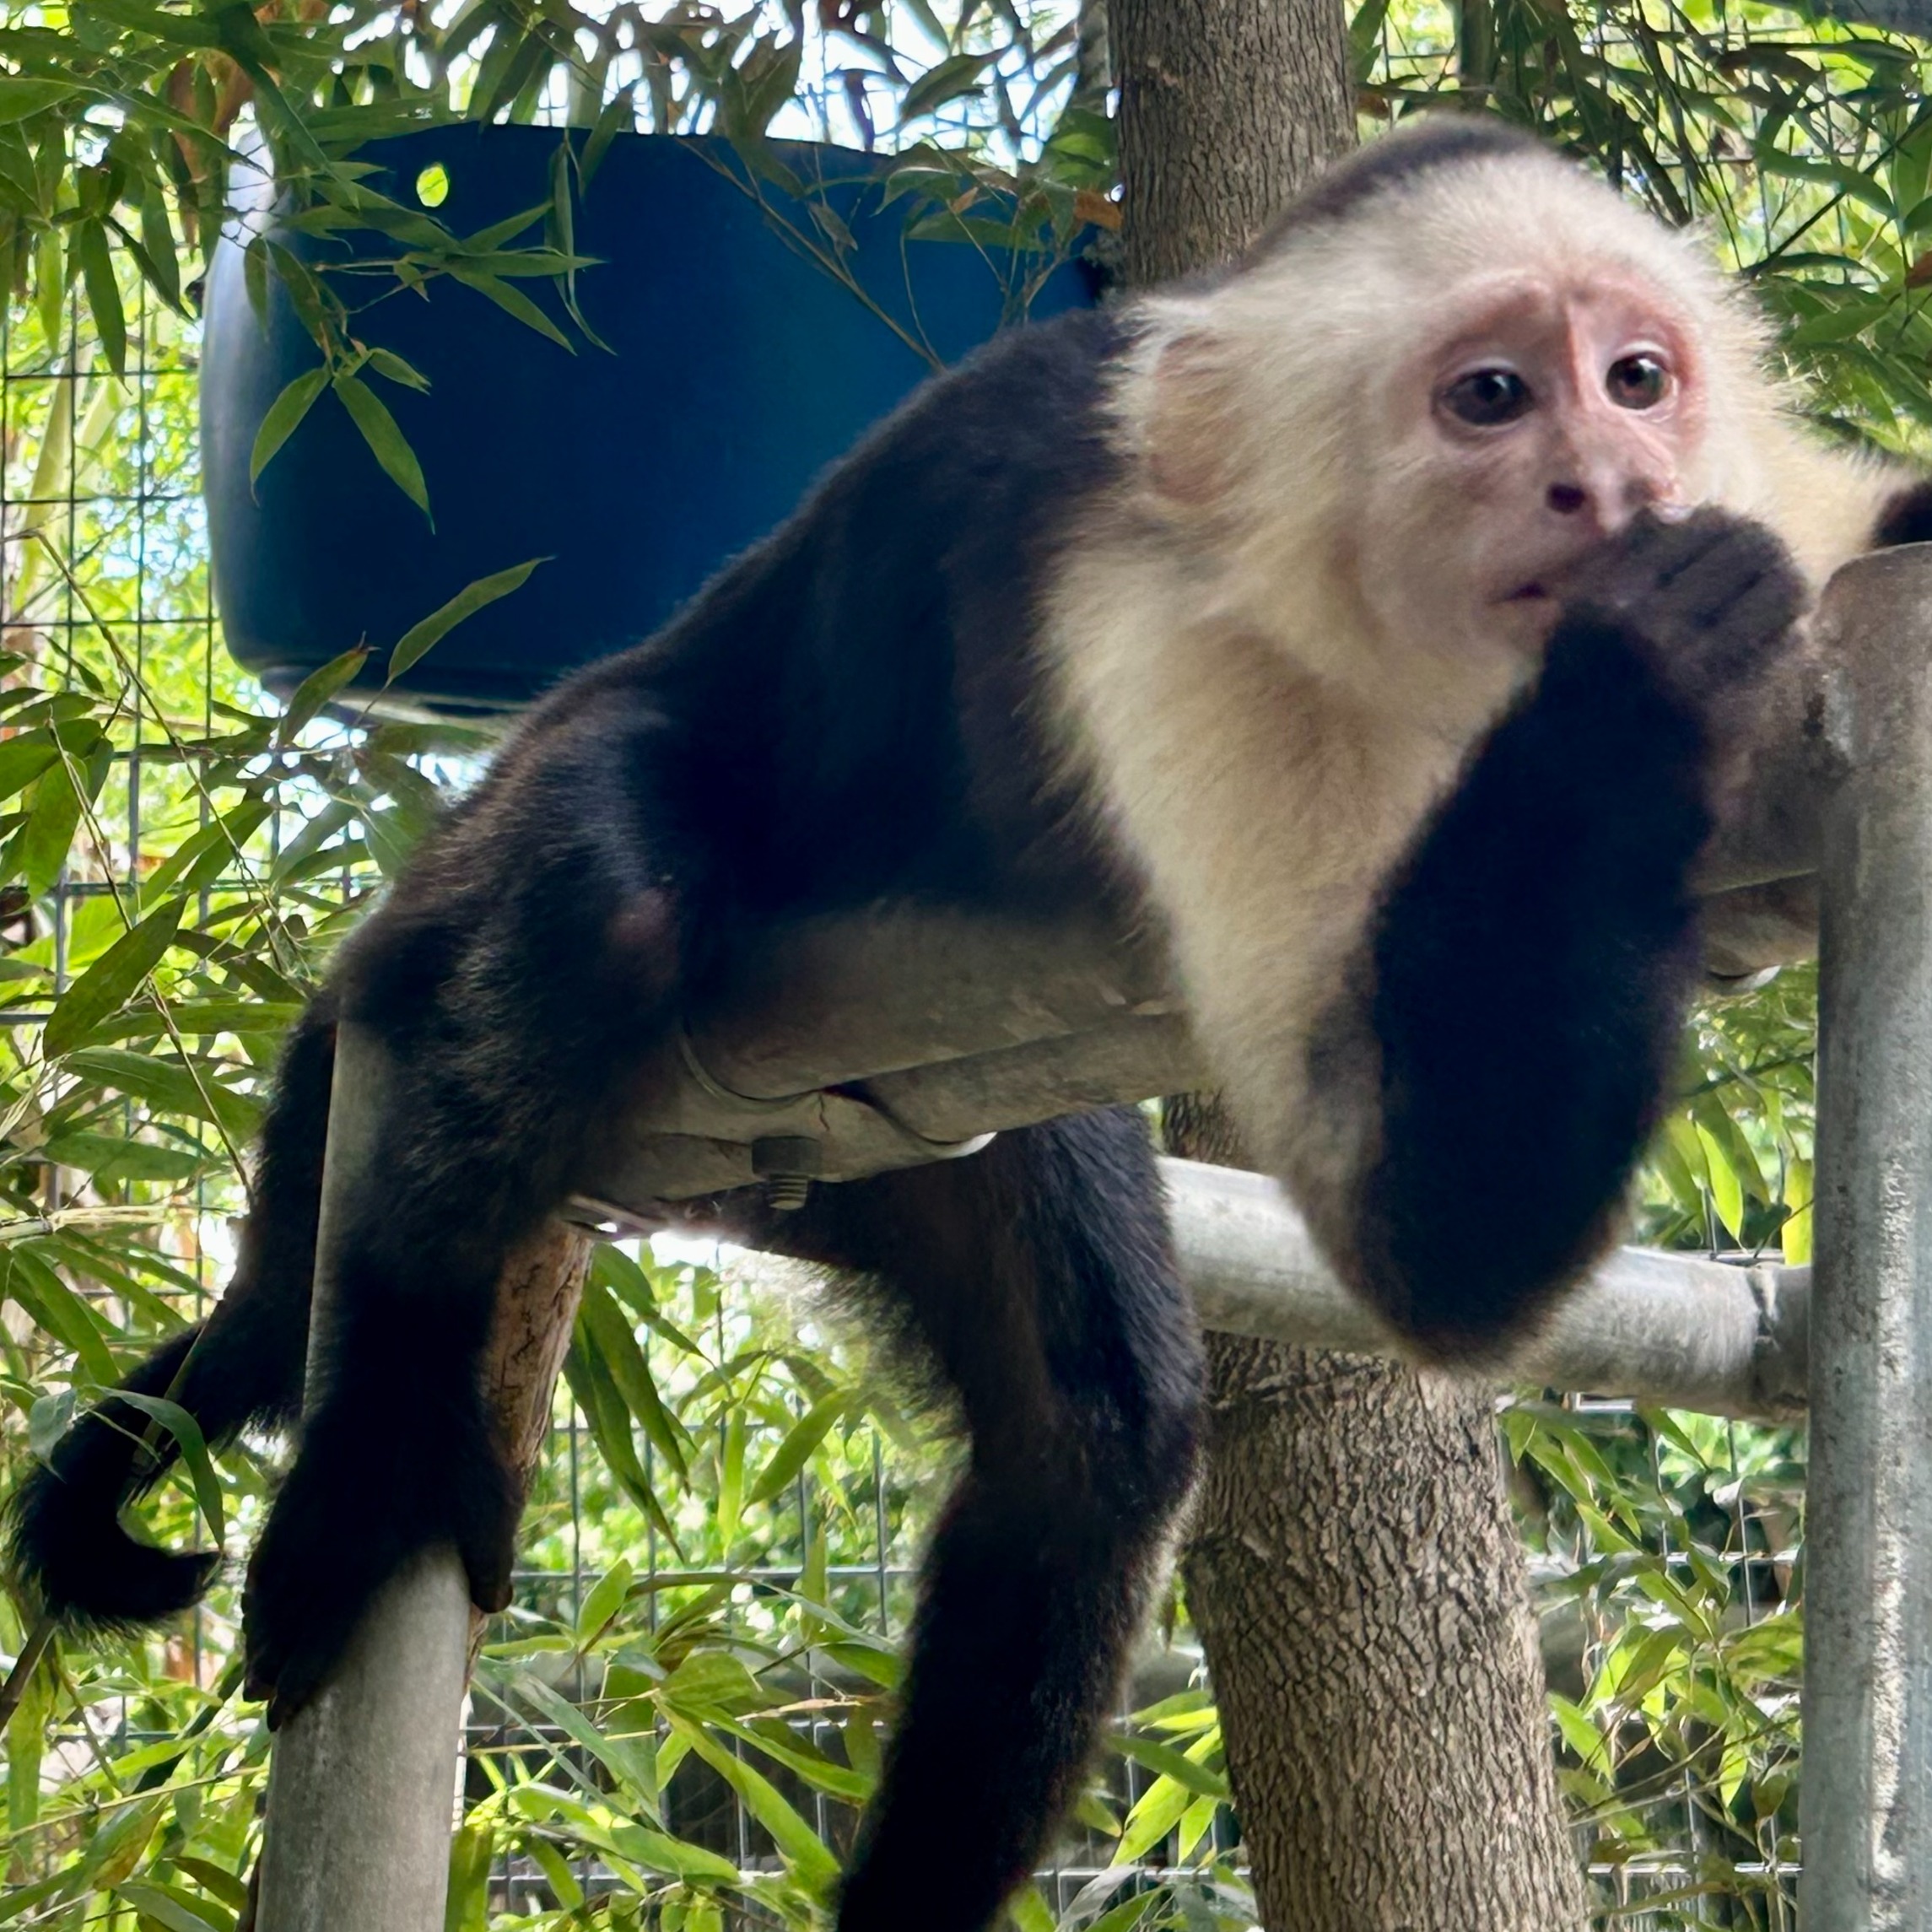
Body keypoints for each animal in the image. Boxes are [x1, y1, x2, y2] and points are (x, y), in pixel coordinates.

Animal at [11, 116, 1932, 1932]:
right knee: (593, 909)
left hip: (895, 1126)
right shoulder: (1168, 646)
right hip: (550, 854)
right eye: (1489, 398)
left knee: (1094, 1432)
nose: (1608, 482)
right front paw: (1639, 676)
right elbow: (1420, 1229)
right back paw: (388, 1422)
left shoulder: (1772, 500)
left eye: (1637, 376)